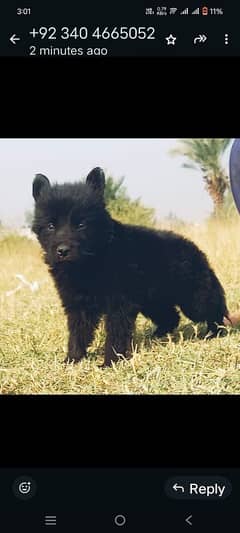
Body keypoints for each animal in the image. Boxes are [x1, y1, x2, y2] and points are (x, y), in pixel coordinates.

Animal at [31, 167, 229, 366]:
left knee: (214, 309)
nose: (62, 251)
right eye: (50, 225)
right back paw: (156, 337)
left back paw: (215, 332)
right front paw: (72, 359)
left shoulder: (118, 304)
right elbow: (78, 333)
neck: (93, 260)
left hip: (193, 301)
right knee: (171, 317)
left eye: (81, 224)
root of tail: (195, 249)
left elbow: (115, 334)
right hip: (153, 301)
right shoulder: (78, 306)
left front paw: (110, 362)